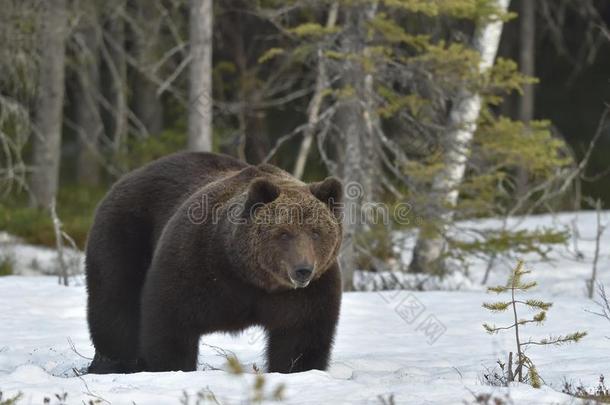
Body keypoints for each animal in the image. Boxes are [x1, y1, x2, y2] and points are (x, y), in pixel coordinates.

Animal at [85, 151, 342, 372]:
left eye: (316, 232)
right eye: (284, 233)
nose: (303, 270)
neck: (248, 275)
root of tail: (127, 177)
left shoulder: (309, 291)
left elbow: (301, 336)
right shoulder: (195, 262)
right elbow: (170, 321)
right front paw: (172, 366)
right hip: (126, 232)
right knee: (116, 301)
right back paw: (114, 363)